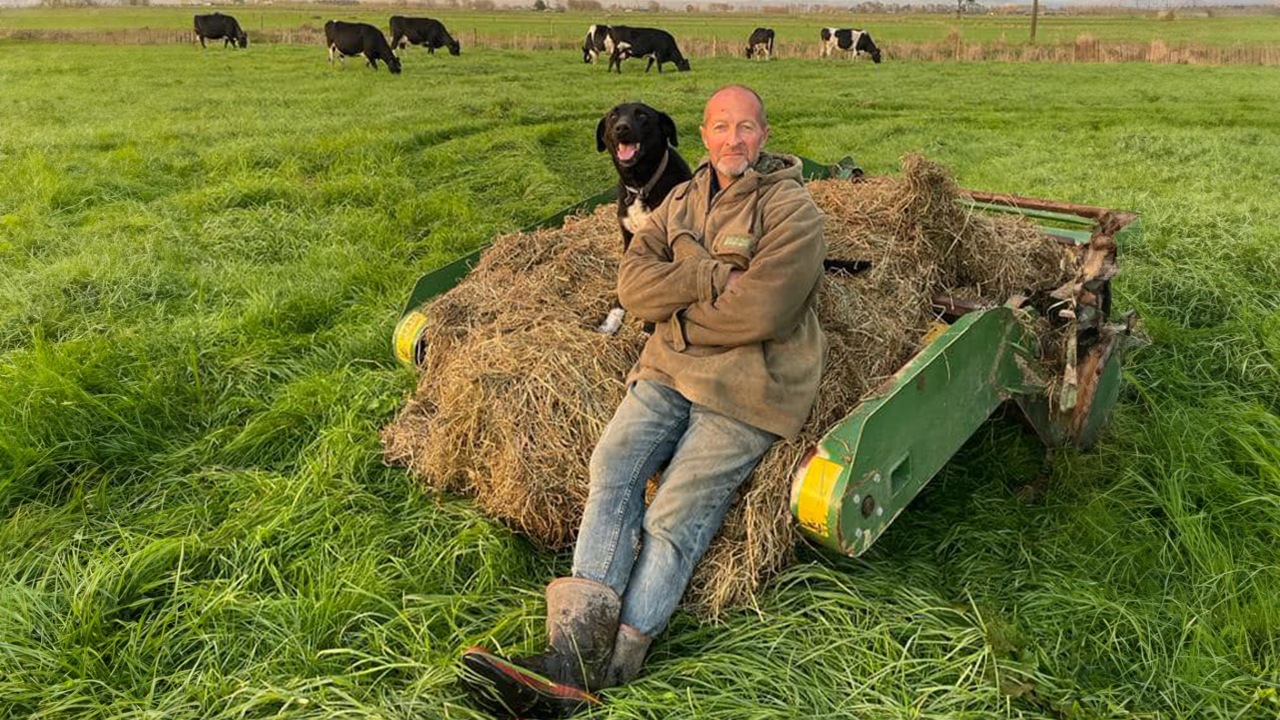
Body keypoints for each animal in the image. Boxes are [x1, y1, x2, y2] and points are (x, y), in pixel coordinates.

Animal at [593, 102, 692, 334]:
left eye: (642, 115)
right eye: (613, 116)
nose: (621, 128)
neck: (640, 187)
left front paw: (649, 327)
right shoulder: (629, 240)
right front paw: (613, 318)